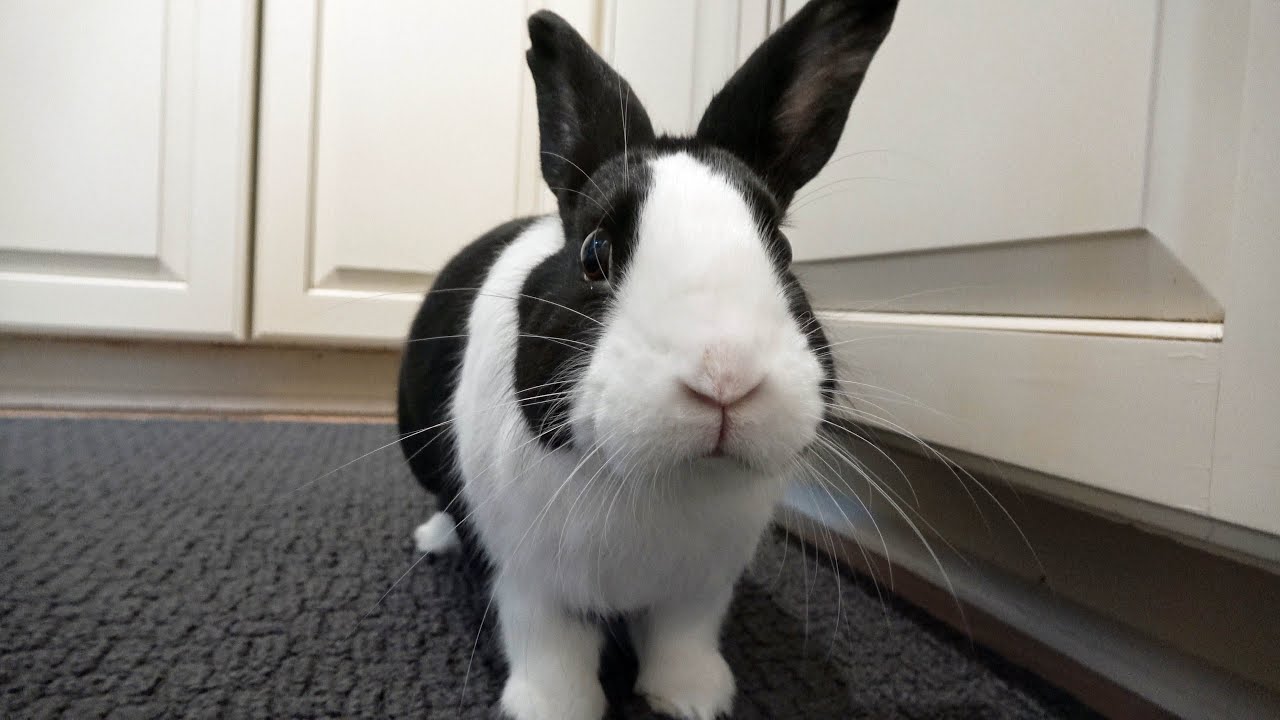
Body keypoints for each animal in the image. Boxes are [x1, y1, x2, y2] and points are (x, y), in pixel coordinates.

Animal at [397, 1, 899, 718]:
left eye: (782, 250)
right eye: (594, 254)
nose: (725, 378)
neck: (663, 483)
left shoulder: (699, 589)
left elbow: (682, 640)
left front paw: (693, 700)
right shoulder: (529, 581)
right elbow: (550, 648)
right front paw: (554, 709)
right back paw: (434, 539)